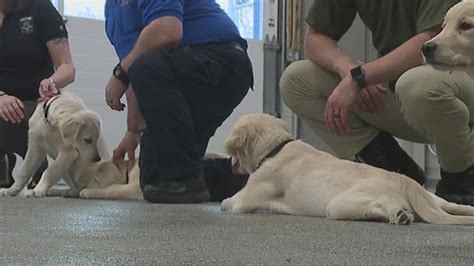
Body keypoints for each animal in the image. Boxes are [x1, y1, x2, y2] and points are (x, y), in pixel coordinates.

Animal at [222, 113, 474, 225]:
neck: (275, 147)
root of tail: (405, 182)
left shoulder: (245, 199)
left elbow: (230, 200)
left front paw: (224, 202)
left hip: (338, 204)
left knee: (382, 208)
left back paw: (399, 216)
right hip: (437, 200)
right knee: (456, 207)